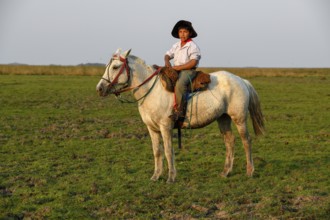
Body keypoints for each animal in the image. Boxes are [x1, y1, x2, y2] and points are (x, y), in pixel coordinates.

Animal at [96, 49, 264, 183]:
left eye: (116, 67)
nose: (100, 88)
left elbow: (168, 151)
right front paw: (156, 176)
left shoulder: (166, 127)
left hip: (239, 118)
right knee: (230, 141)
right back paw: (226, 172)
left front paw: (171, 178)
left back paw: (250, 171)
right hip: (223, 118)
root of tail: (241, 80)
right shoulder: (152, 129)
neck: (151, 90)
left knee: (246, 141)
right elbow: (157, 151)